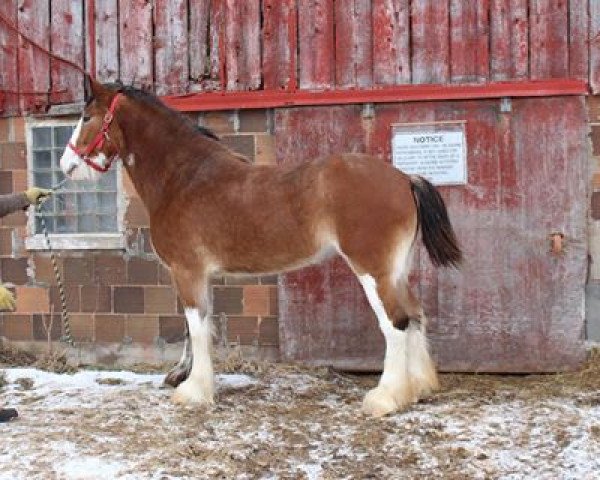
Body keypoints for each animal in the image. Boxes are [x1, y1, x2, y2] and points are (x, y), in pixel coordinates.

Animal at [58, 76, 462, 416]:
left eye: (86, 116)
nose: (65, 164)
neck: (184, 176)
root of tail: (404, 178)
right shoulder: (199, 275)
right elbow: (197, 326)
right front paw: (184, 378)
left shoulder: (187, 271)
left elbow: (196, 326)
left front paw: (193, 391)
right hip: (395, 271)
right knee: (415, 315)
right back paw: (418, 388)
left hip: (372, 270)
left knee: (395, 323)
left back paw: (385, 398)